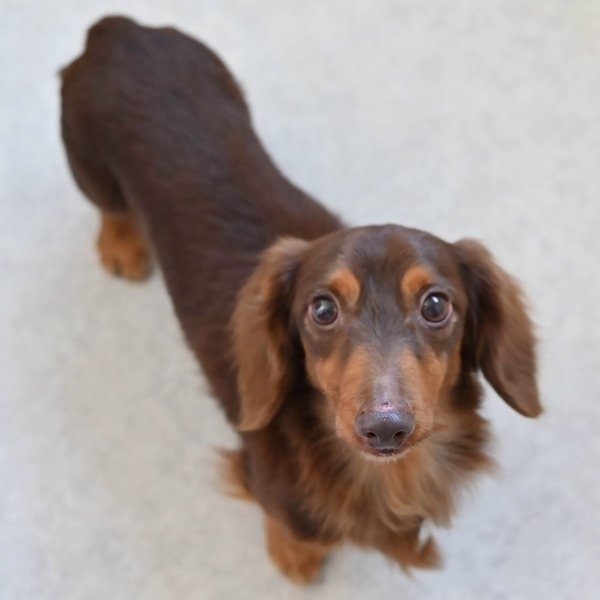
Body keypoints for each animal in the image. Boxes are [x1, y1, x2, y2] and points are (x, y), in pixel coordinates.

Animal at [60, 16, 542, 584]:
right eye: (323, 310)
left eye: (435, 305)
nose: (385, 430)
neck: (387, 475)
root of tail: (119, 29)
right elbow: (290, 525)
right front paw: (294, 554)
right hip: (90, 171)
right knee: (109, 208)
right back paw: (121, 244)